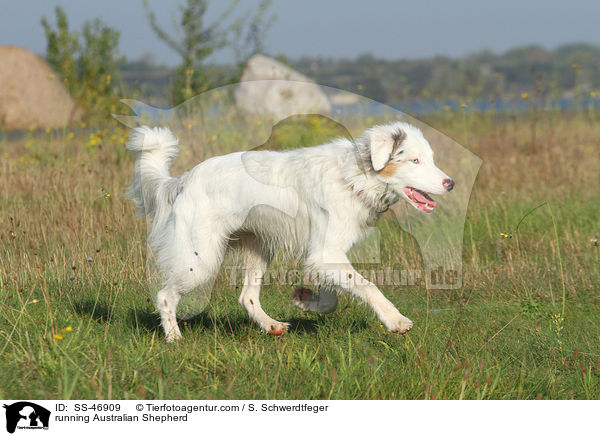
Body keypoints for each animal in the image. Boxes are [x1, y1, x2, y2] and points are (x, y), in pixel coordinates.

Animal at [127, 122, 454, 340]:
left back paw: (270, 325)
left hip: (259, 250)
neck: (355, 177)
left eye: (431, 159)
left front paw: (305, 301)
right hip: (200, 262)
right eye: (415, 160)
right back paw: (174, 339)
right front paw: (395, 320)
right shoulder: (325, 253)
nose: (450, 183)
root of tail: (184, 180)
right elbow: (368, 285)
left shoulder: (324, 256)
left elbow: (334, 295)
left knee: (246, 297)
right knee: (165, 296)